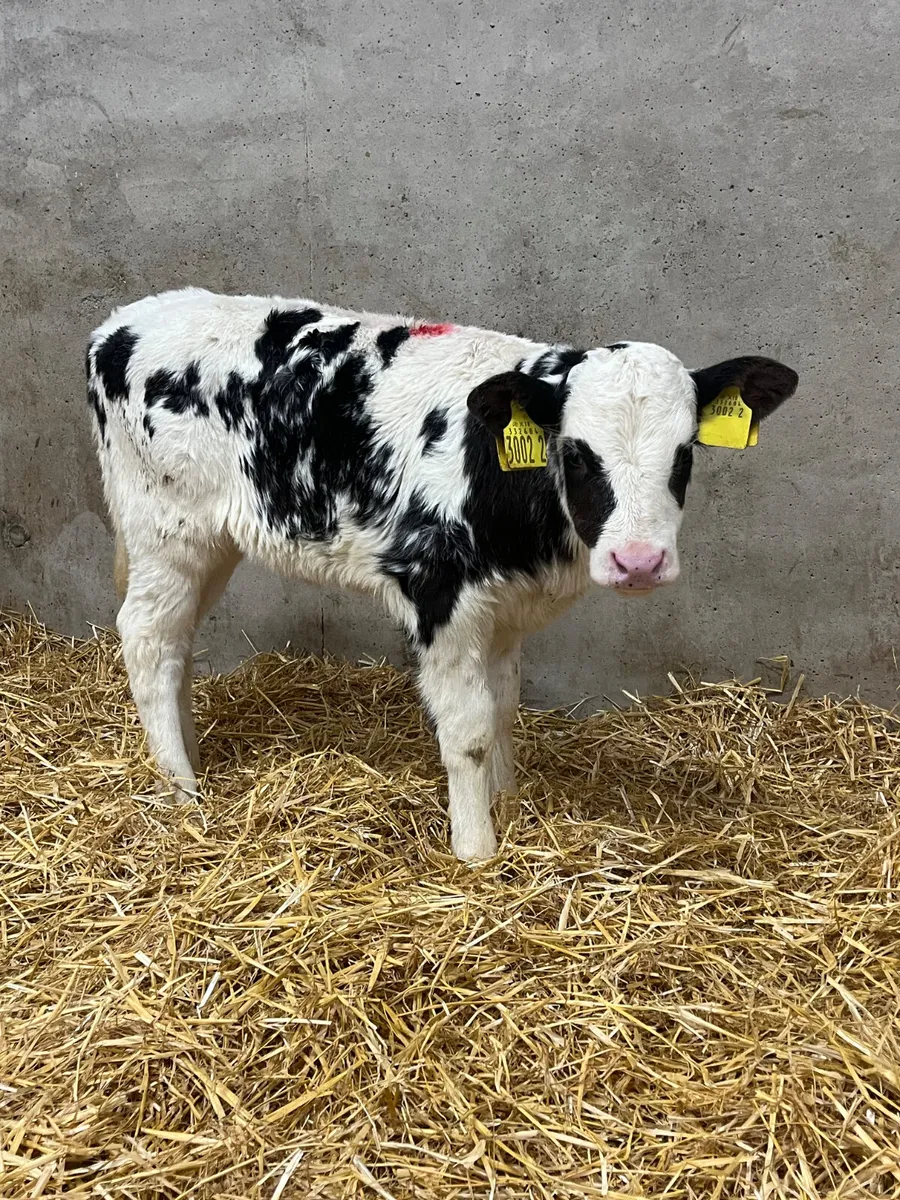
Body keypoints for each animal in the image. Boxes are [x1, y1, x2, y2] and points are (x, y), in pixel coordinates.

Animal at [86, 287, 798, 861]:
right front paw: (476, 850)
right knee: (147, 642)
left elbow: (504, 708)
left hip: (212, 541)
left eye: (685, 454)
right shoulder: (440, 596)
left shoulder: (507, 608)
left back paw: (188, 758)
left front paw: (509, 806)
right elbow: (470, 731)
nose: (639, 561)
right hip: (165, 529)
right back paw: (181, 791)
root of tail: (124, 321)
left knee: (177, 644)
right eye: (576, 453)